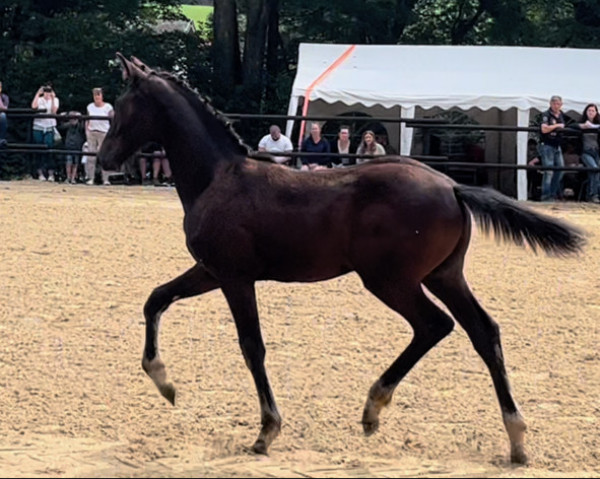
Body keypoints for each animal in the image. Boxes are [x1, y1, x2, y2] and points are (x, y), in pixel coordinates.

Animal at [99, 54, 584, 466]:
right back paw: (516, 440)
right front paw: (165, 384)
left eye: (121, 105)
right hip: (444, 276)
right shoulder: (210, 271)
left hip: (390, 280)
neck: (218, 177)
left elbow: (252, 346)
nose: (104, 159)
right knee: (483, 332)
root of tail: (452, 186)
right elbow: (155, 298)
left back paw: (374, 408)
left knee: (435, 325)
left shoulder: (235, 277)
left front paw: (266, 431)